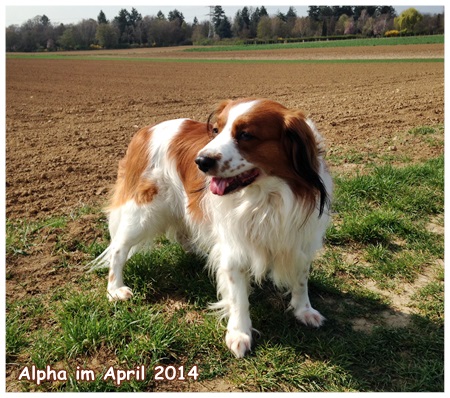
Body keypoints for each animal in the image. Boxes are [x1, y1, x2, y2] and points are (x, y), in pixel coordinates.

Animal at [91, 97, 332, 358]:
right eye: (216, 131)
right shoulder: (235, 248)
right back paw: (115, 288)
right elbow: (238, 297)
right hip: (143, 213)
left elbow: (301, 280)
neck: (268, 197)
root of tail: (145, 130)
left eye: (246, 135)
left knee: (183, 233)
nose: (200, 161)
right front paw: (239, 333)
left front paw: (304, 310)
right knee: (117, 249)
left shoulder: (301, 242)